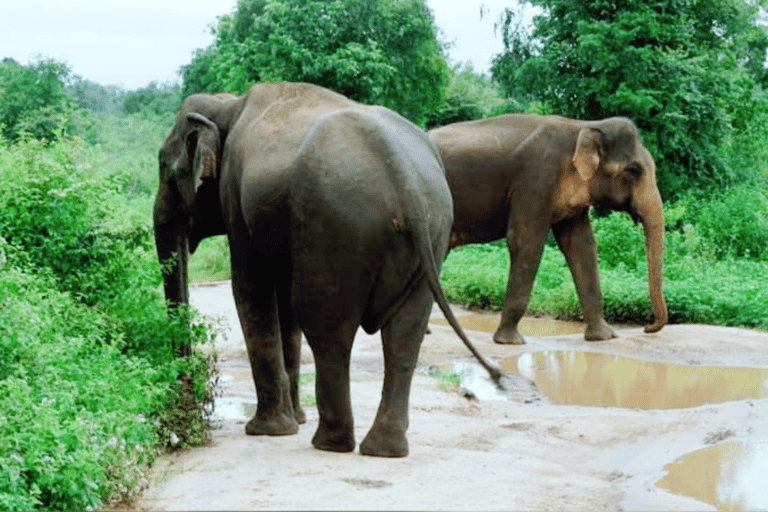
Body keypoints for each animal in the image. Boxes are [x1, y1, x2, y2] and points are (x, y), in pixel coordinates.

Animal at [154, 82, 500, 458]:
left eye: (162, 167)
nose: (186, 407)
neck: (228, 105)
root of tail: (402, 173)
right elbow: (282, 299)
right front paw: (294, 420)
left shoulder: (235, 194)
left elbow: (251, 287)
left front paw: (267, 431)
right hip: (431, 235)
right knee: (405, 334)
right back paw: (383, 449)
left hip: (336, 226)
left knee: (326, 324)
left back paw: (330, 443)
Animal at [428, 114, 668, 346]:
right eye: (633, 171)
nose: (647, 327)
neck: (583, 126)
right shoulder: (536, 181)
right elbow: (526, 241)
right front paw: (510, 341)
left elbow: (581, 246)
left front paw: (604, 337)